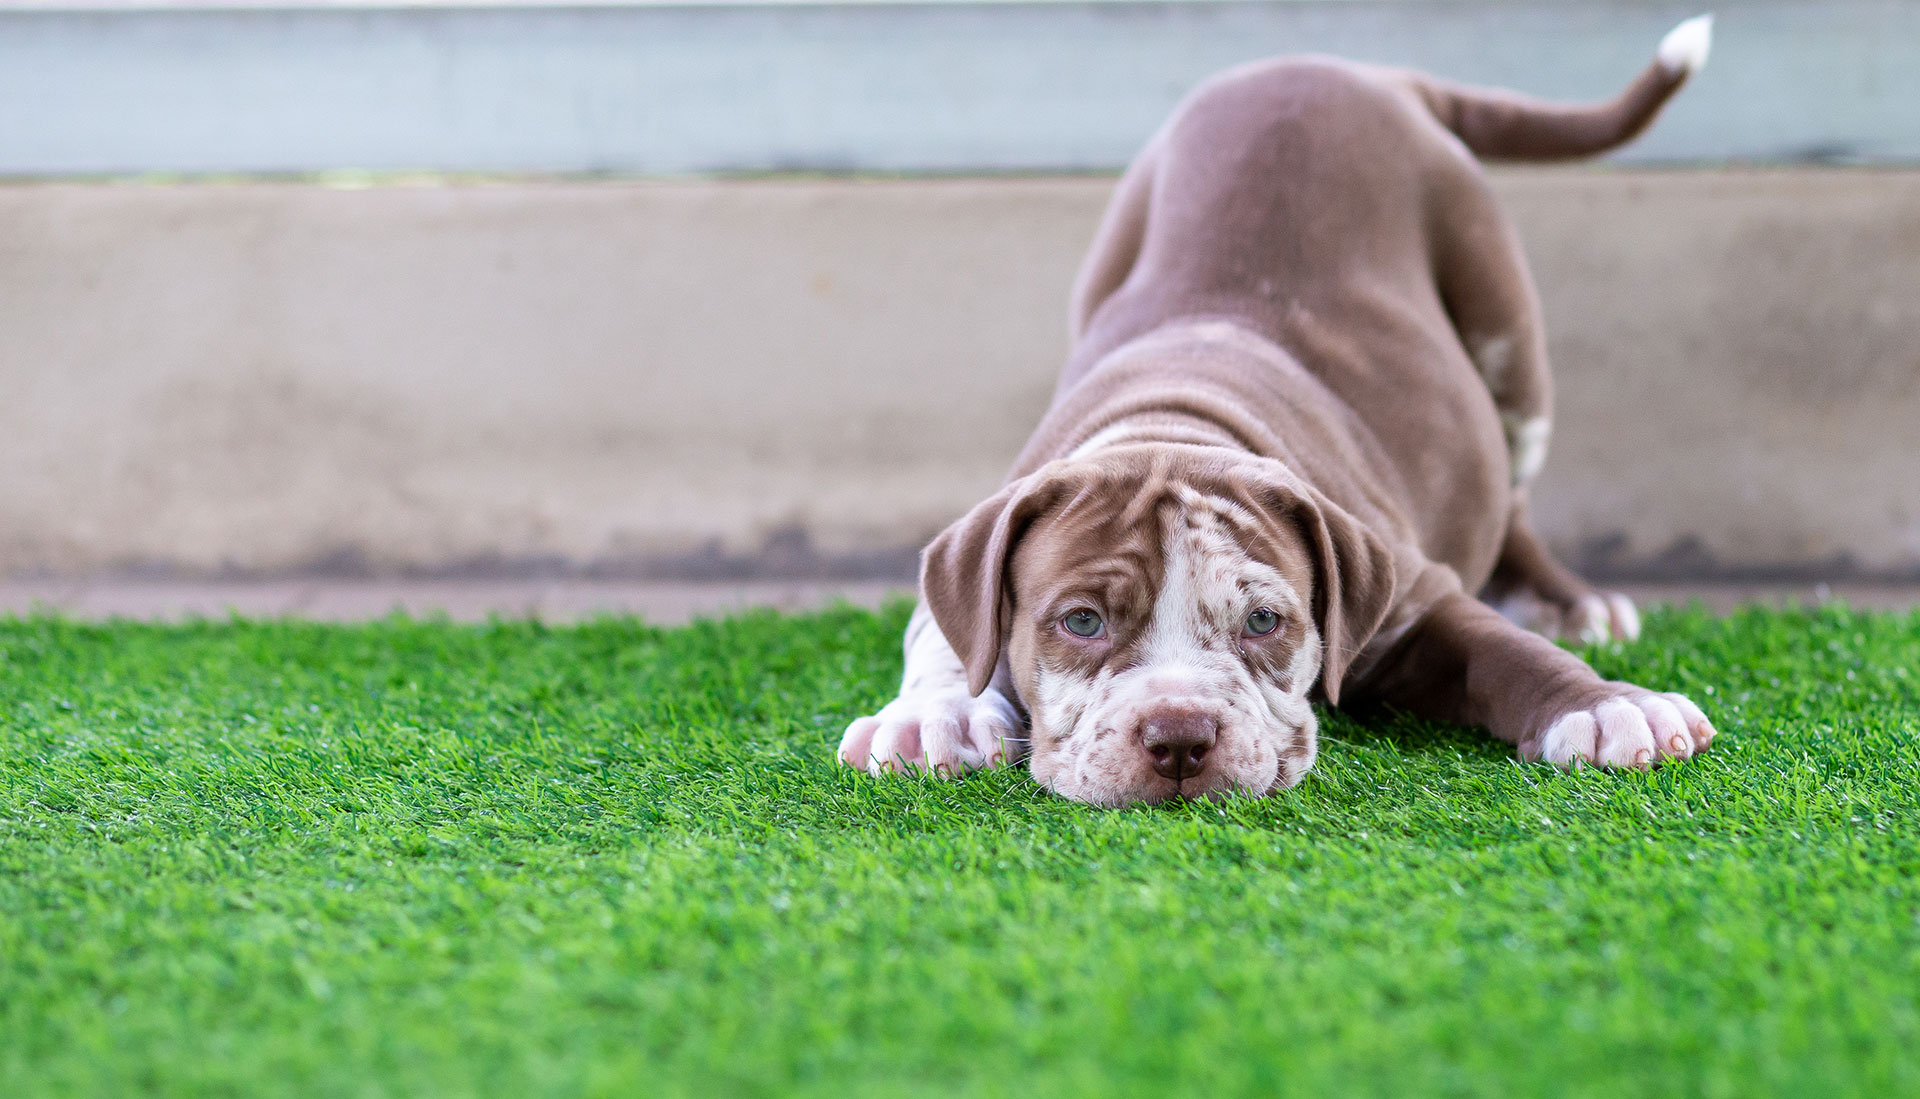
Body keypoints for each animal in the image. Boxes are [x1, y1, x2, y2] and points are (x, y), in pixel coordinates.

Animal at [840, 12, 1728, 806]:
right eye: (1081, 622)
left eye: (1265, 620)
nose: (1179, 736)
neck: (1173, 420)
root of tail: (1351, 70)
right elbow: (948, 640)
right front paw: (933, 716)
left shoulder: (1417, 596)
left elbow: (1501, 651)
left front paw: (1608, 705)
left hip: (1506, 331)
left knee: (1511, 492)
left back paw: (1570, 604)